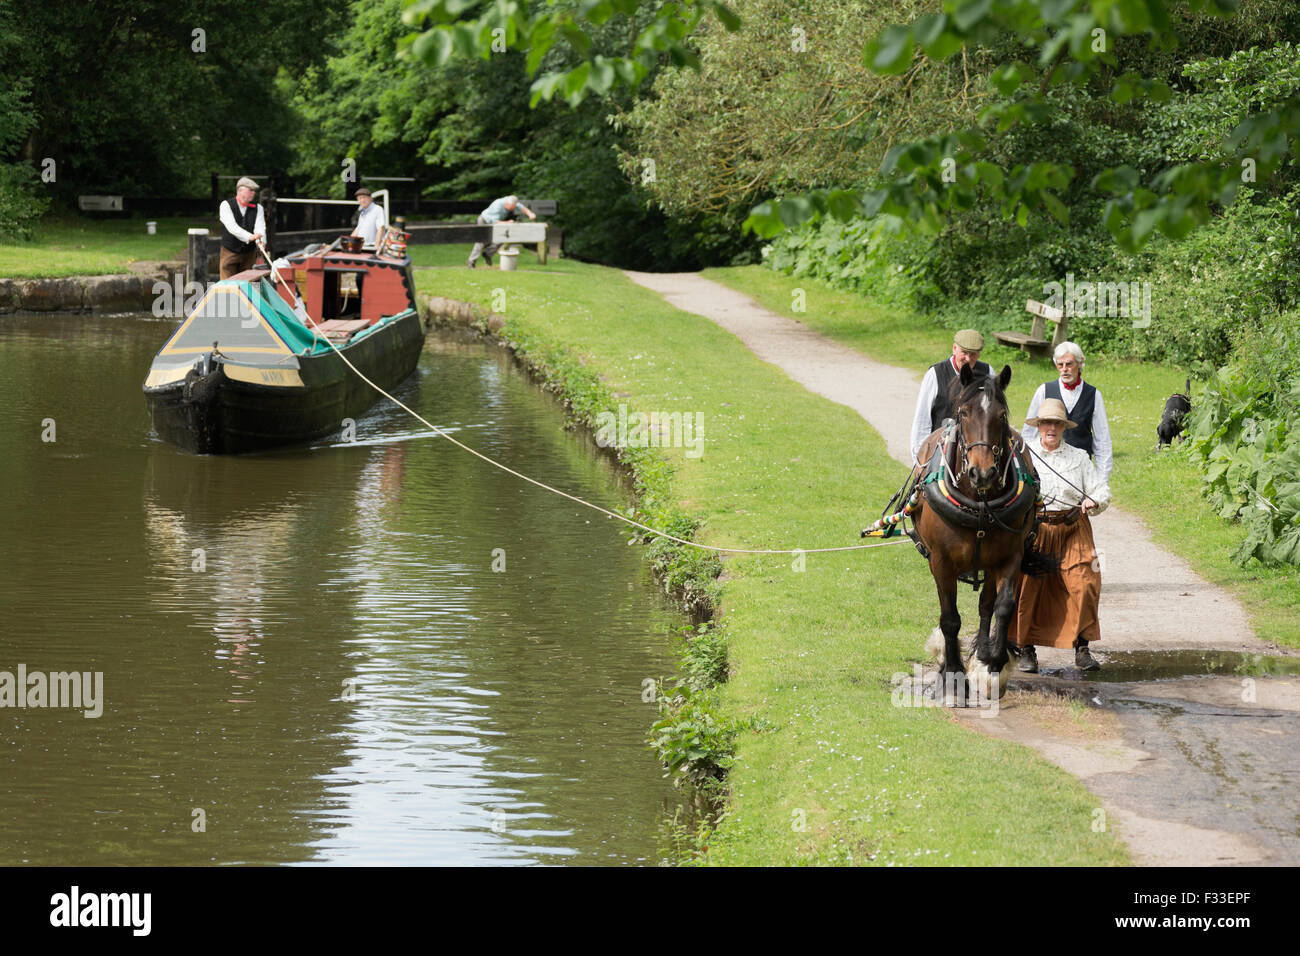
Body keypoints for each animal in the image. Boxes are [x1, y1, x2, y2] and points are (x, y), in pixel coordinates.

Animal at [915, 361, 1045, 707]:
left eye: (1000, 415)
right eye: (963, 413)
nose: (982, 472)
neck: (979, 503)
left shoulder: (1010, 557)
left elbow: (1003, 606)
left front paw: (992, 665)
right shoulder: (941, 562)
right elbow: (950, 618)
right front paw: (952, 677)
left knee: (987, 606)